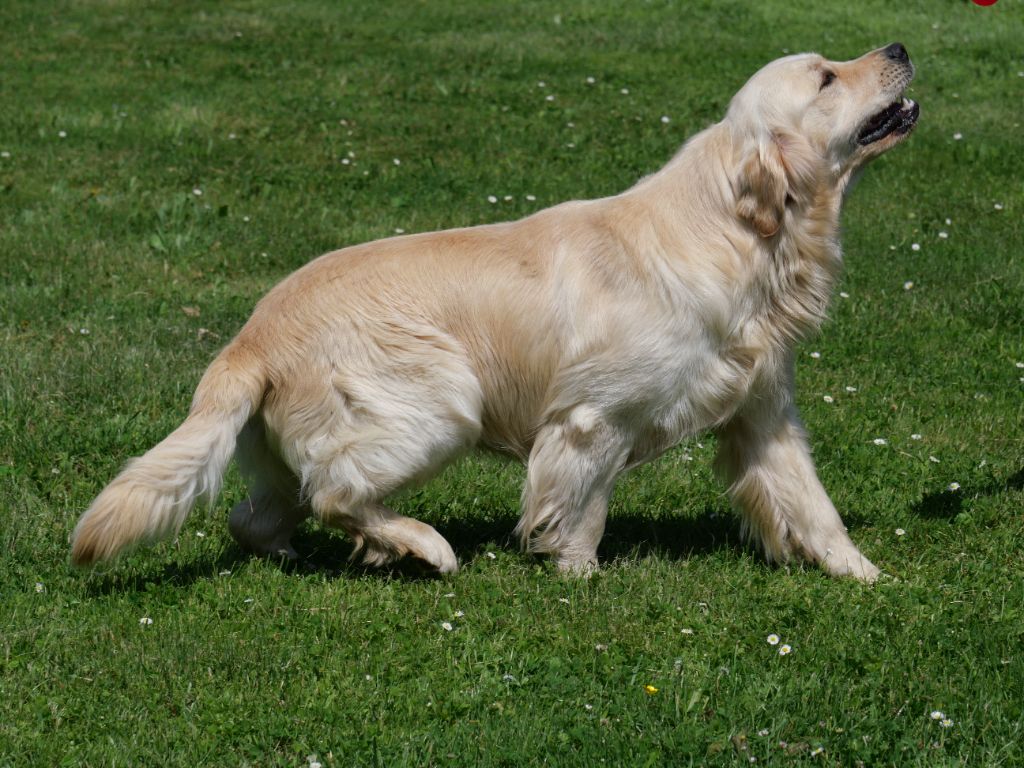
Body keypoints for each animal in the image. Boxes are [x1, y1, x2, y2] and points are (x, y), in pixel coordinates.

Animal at [72, 43, 921, 581]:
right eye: (826, 78)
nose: (901, 44)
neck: (742, 233)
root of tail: (249, 337)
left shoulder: (763, 411)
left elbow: (813, 504)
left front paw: (865, 576)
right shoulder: (591, 417)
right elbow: (582, 508)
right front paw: (576, 575)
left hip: (293, 452)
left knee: (261, 515)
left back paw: (305, 555)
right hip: (442, 400)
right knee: (336, 494)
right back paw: (422, 547)